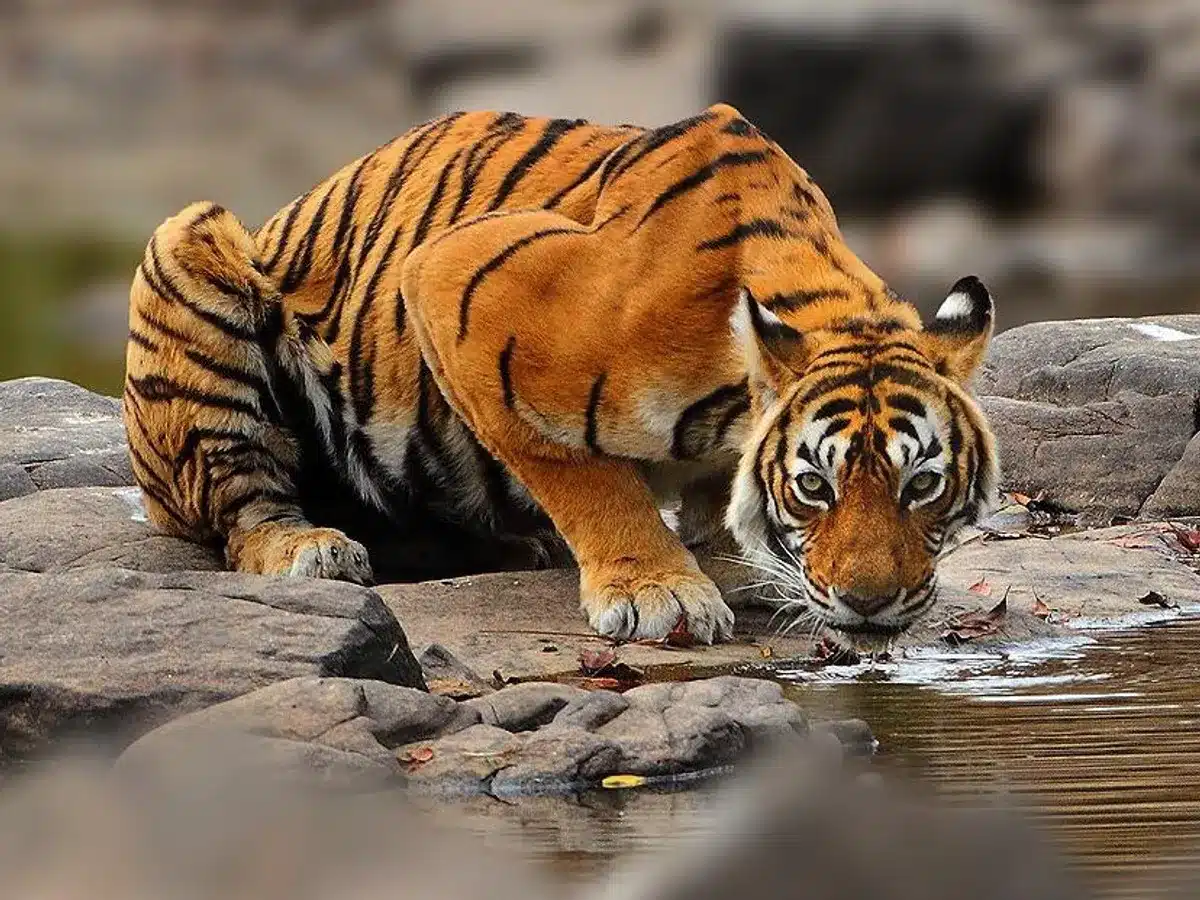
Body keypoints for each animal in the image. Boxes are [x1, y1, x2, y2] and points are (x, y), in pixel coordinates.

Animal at [123, 102, 999, 645]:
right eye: (815, 486)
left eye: (923, 484)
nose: (870, 604)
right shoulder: (453, 284)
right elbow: (581, 473)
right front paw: (658, 589)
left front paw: (725, 557)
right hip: (190, 250)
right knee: (242, 507)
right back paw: (313, 547)